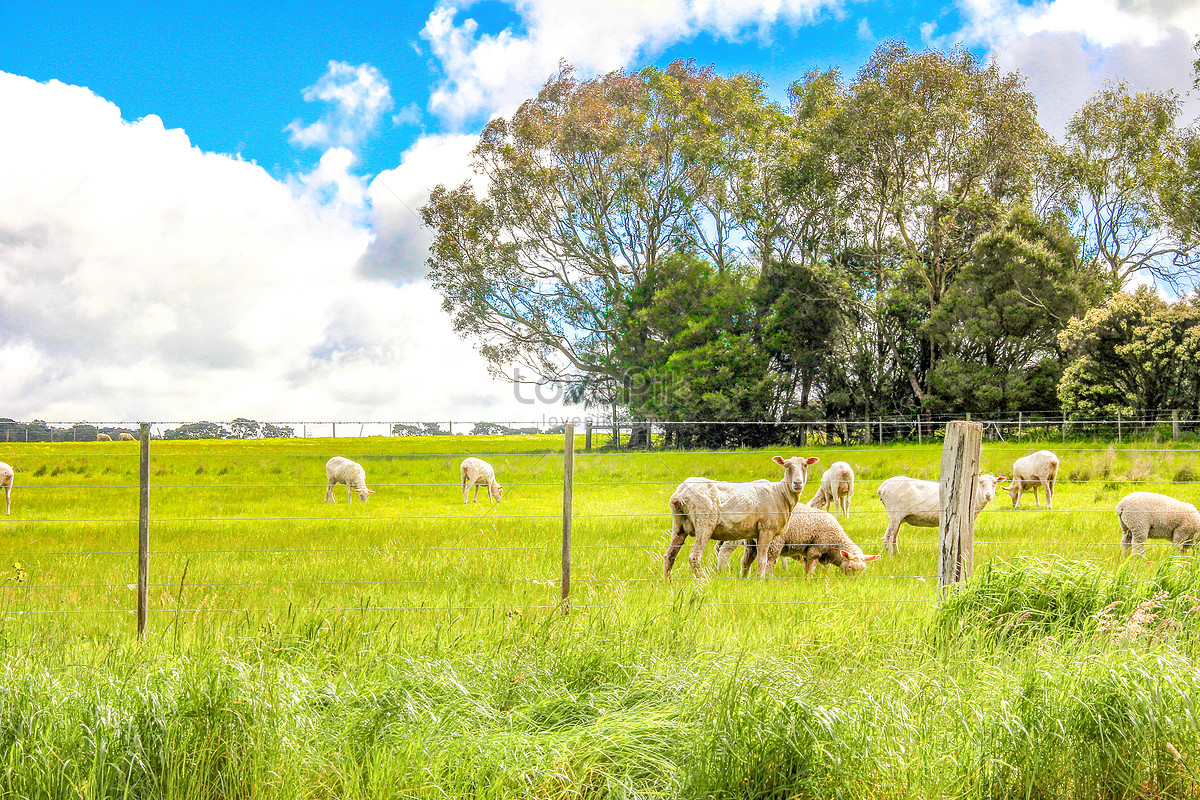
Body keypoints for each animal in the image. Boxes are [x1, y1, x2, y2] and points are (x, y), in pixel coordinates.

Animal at [662, 455, 820, 582]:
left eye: (805, 465)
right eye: (786, 466)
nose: (797, 483)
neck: (780, 493)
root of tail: (680, 494)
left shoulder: (753, 533)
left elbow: (749, 558)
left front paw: (747, 578)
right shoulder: (766, 529)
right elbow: (762, 559)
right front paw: (760, 580)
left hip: (679, 525)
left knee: (669, 555)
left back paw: (667, 581)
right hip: (704, 522)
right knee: (694, 557)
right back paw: (705, 580)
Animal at [878, 472, 1008, 554]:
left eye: (995, 483)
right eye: (980, 482)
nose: (988, 495)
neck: (974, 499)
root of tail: (882, 488)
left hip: (897, 516)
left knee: (893, 537)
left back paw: (896, 555)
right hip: (895, 512)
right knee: (889, 537)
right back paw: (892, 556)